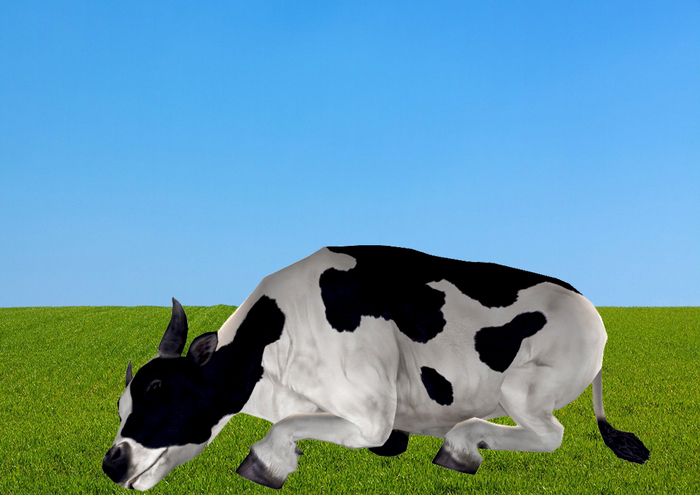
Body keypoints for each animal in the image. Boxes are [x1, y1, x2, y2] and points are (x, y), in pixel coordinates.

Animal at [103, 245, 649, 490]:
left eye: (161, 390)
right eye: (121, 404)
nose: (111, 463)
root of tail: (590, 308)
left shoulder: (370, 414)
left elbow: (285, 428)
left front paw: (265, 463)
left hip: (523, 386)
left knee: (550, 434)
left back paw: (461, 445)